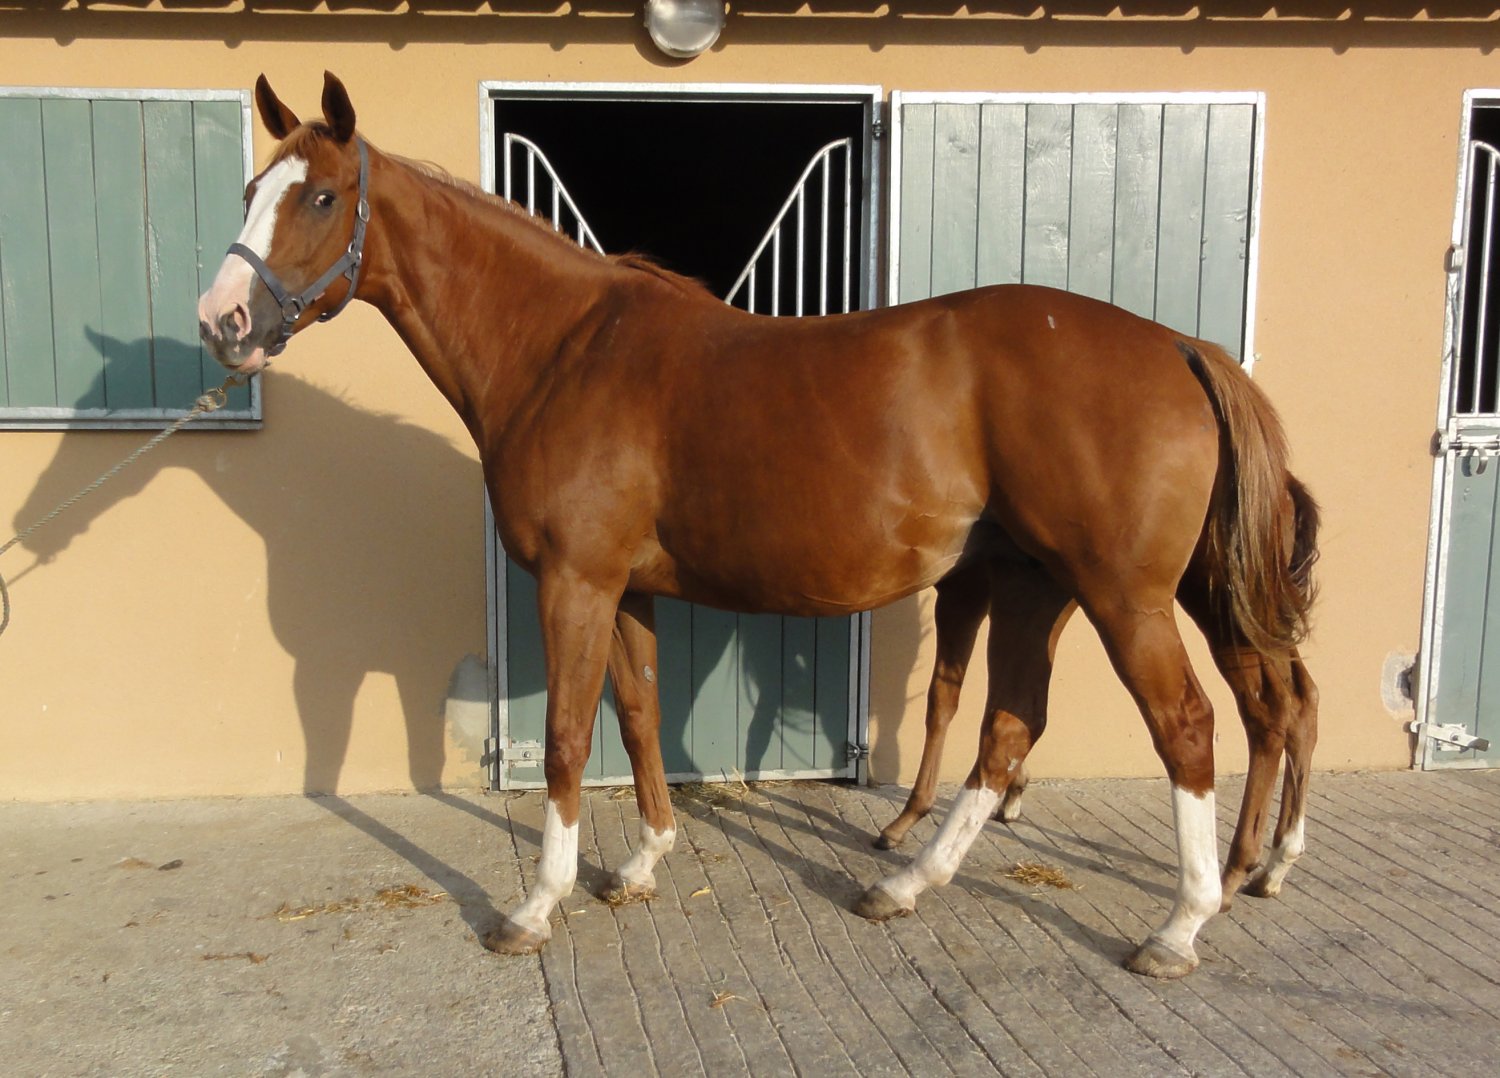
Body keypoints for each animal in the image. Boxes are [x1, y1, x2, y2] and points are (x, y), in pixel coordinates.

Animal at [197, 72, 1319, 980]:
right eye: (249, 191)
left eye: (323, 196)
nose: (223, 322)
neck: (561, 349)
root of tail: (1177, 345)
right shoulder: (625, 588)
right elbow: (639, 715)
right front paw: (641, 862)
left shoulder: (574, 581)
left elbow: (566, 736)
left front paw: (535, 905)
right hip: (1037, 584)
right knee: (1012, 727)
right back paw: (908, 884)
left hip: (1122, 594)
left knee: (1190, 724)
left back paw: (1183, 922)